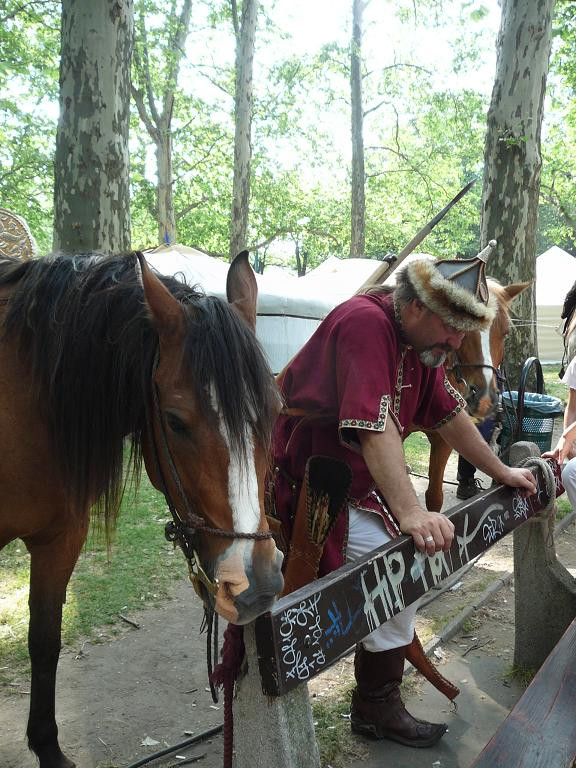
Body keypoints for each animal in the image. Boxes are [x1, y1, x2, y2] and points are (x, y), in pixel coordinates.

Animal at [0, 250, 284, 768]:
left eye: (275, 409)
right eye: (174, 421)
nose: (257, 583)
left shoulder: (59, 539)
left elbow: (44, 640)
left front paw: (48, 747)